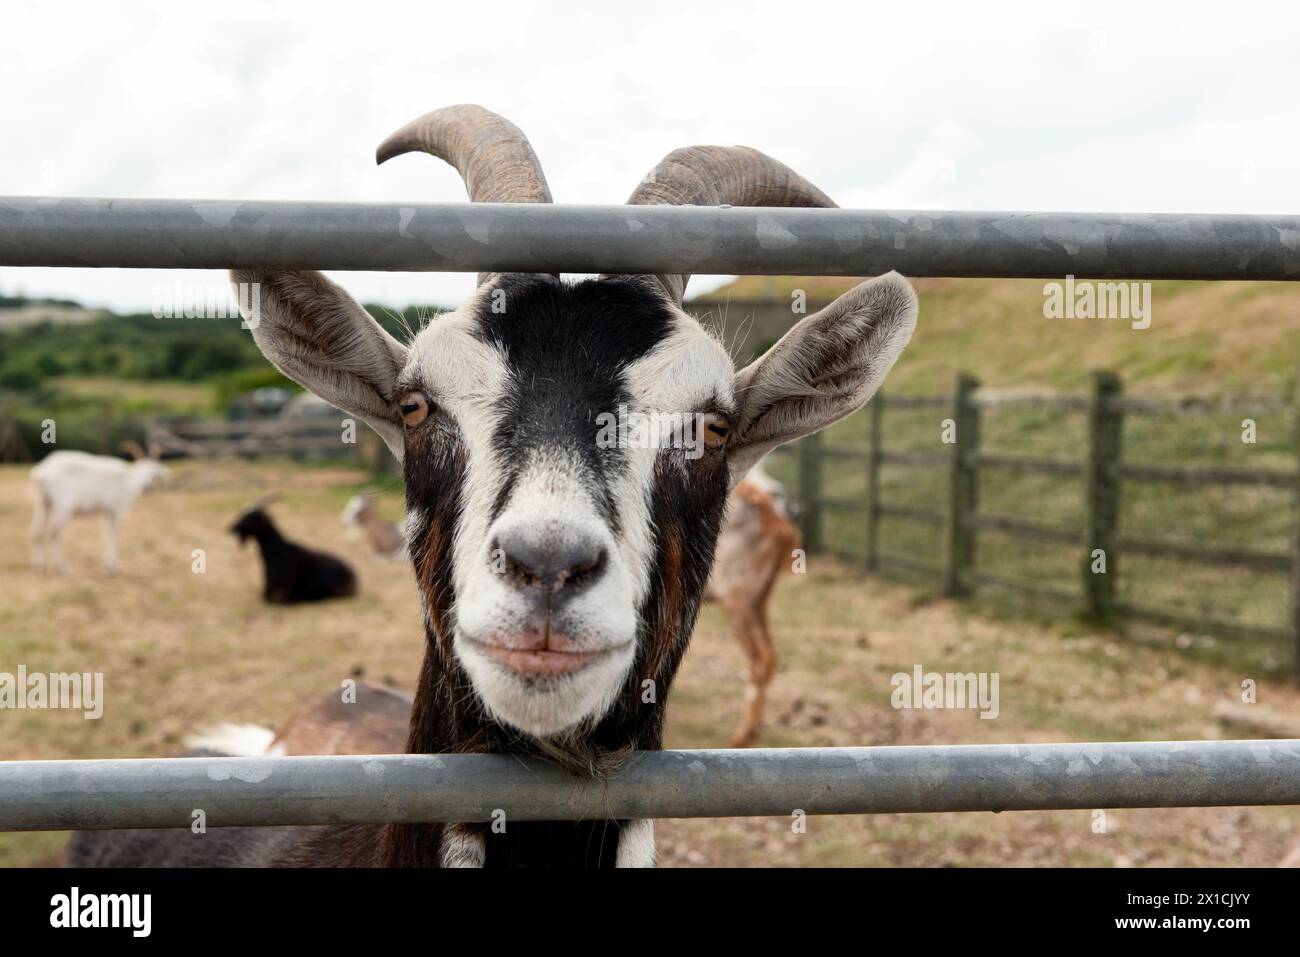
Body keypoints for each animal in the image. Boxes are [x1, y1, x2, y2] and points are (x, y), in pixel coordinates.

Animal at [28, 442, 169, 573]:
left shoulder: (106, 512)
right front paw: (114, 566)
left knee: (38, 532)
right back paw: (60, 567)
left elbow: (106, 533)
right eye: (157, 465)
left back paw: (39, 567)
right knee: (54, 532)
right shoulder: (118, 508)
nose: (166, 474)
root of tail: (40, 473)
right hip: (62, 505)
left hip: (41, 504)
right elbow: (114, 534)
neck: (131, 481)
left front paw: (107, 564)